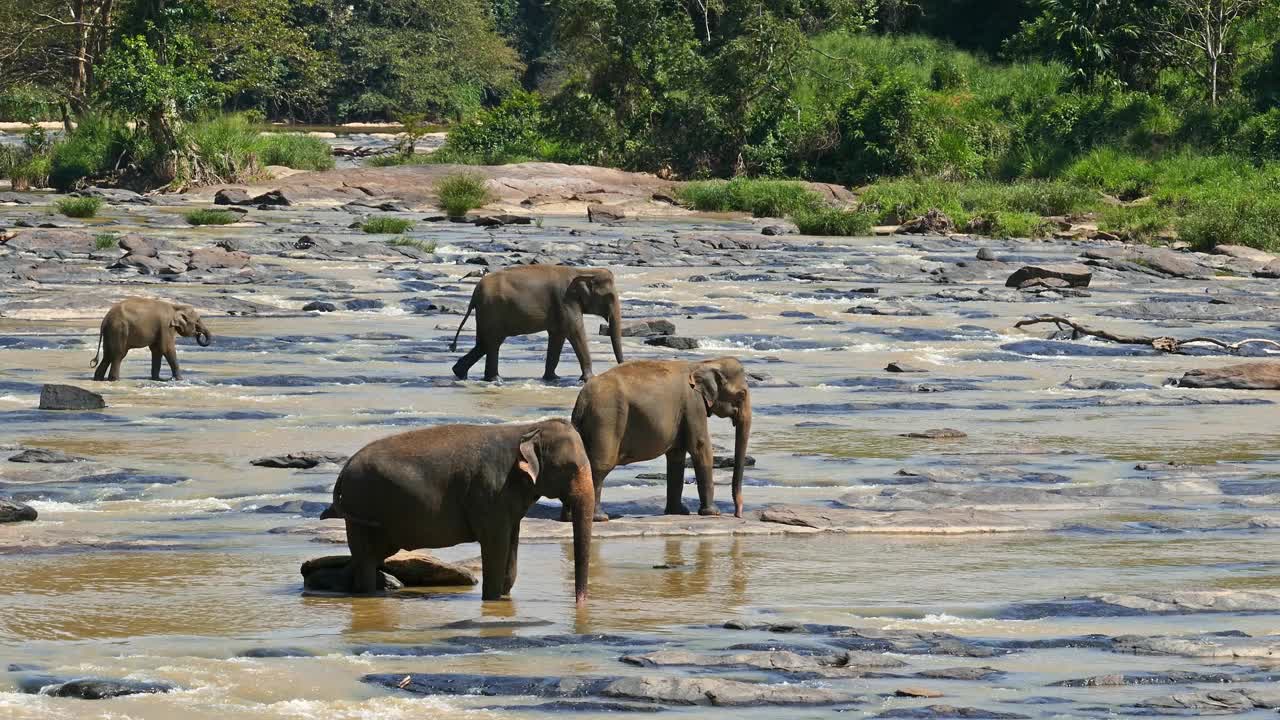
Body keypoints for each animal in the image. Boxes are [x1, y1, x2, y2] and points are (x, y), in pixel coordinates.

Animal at [320, 417, 599, 602]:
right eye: (570, 468)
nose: (580, 604)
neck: (528, 429)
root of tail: (346, 468)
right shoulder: (490, 492)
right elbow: (495, 544)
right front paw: (492, 600)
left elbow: (511, 542)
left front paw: (503, 597)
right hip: (363, 505)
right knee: (367, 556)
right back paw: (366, 593)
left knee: (368, 555)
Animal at [450, 263, 624, 381]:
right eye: (609, 296)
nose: (621, 366)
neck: (581, 271)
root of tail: (475, 293)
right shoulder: (566, 301)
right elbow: (575, 330)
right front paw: (588, 379)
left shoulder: (561, 307)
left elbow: (558, 336)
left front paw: (552, 378)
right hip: (492, 310)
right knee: (493, 343)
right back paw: (495, 379)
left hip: (485, 313)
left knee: (483, 344)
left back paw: (459, 372)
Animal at [568, 353, 747, 517]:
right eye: (742, 394)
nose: (737, 514)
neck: (704, 364)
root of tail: (581, 401)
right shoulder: (693, 405)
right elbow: (700, 447)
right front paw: (712, 513)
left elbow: (676, 455)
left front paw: (678, 512)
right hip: (606, 420)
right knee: (600, 466)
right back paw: (599, 517)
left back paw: (570, 517)